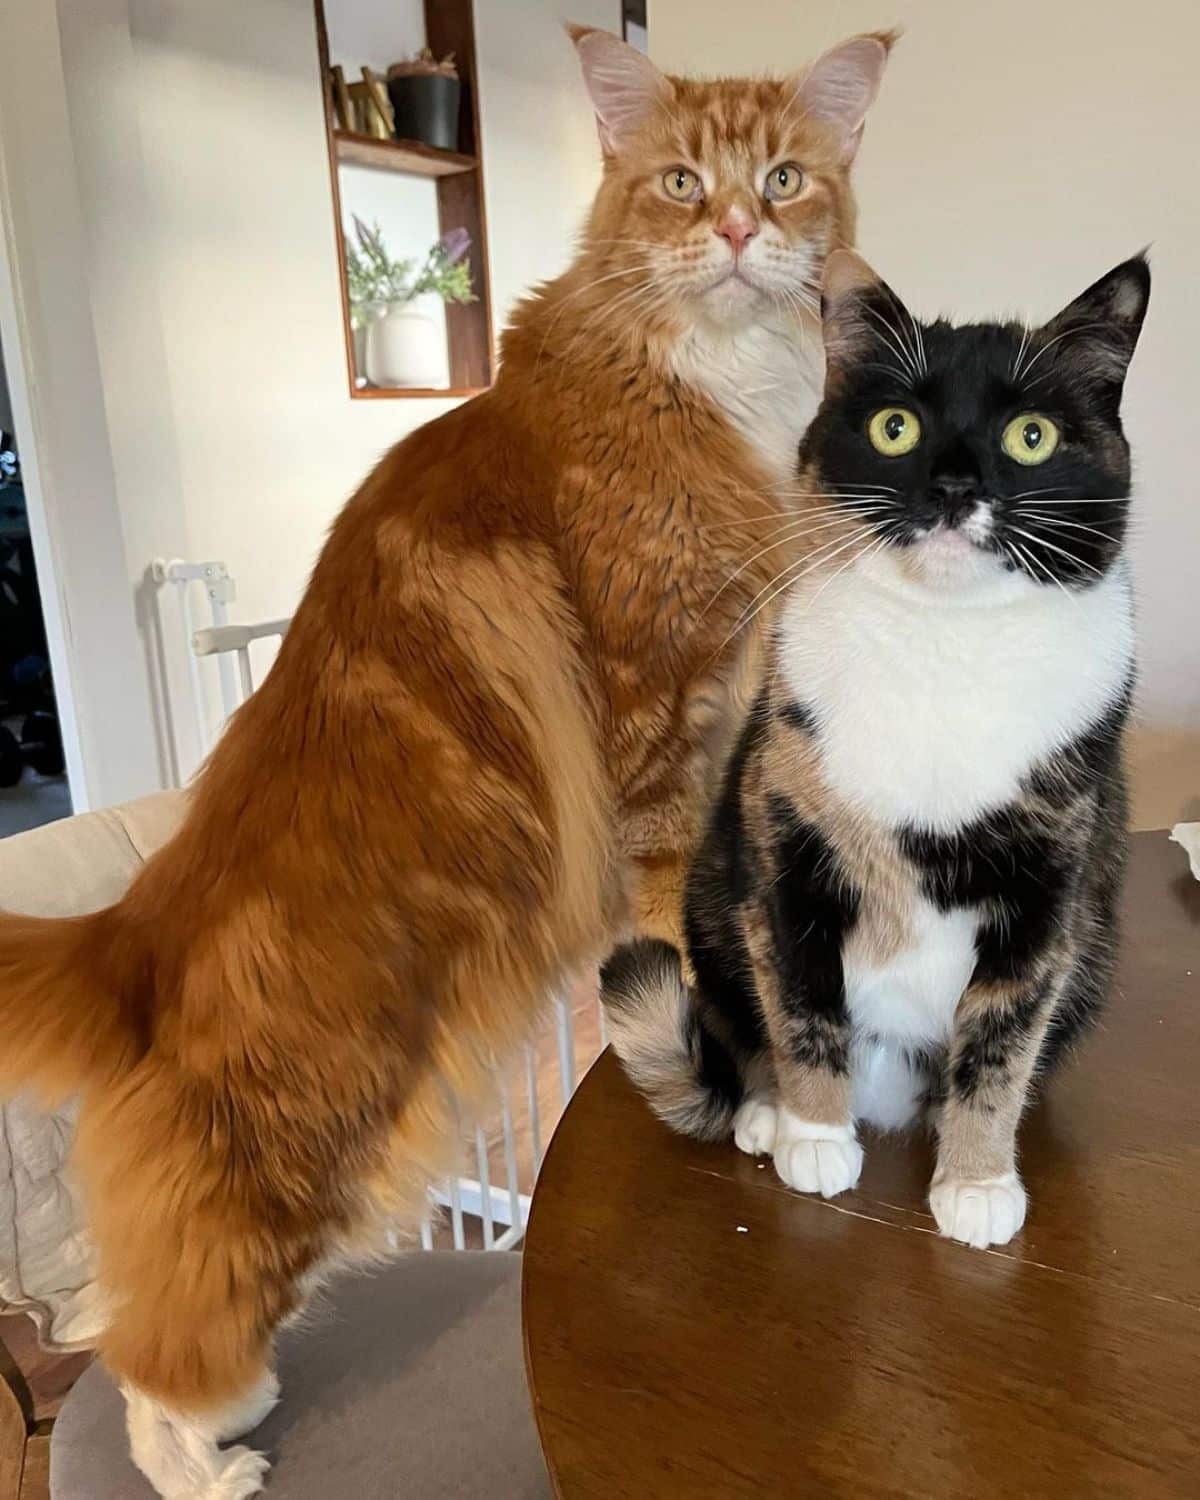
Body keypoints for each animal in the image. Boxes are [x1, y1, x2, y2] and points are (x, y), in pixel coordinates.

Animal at [0, 23, 888, 1500]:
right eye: (682, 182)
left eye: (782, 176)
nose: (741, 230)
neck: (713, 379)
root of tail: (136, 925)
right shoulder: (656, 730)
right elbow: (696, 941)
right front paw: (751, 1099)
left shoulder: (724, 726)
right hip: (313, 1143)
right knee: (151, 1350)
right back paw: (209, 1464)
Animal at [606, 246, 1146, 1248]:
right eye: (896, 428)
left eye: (1032, 438)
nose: (955, 488)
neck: (941, 646)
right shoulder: (784, 845)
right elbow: (802, 1001)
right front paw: (815, 1136)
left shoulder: (1051, 891)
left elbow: (1001, 1039)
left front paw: (976, 1181)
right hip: (712, 893)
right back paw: (768, 1112)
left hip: (1096, 947)